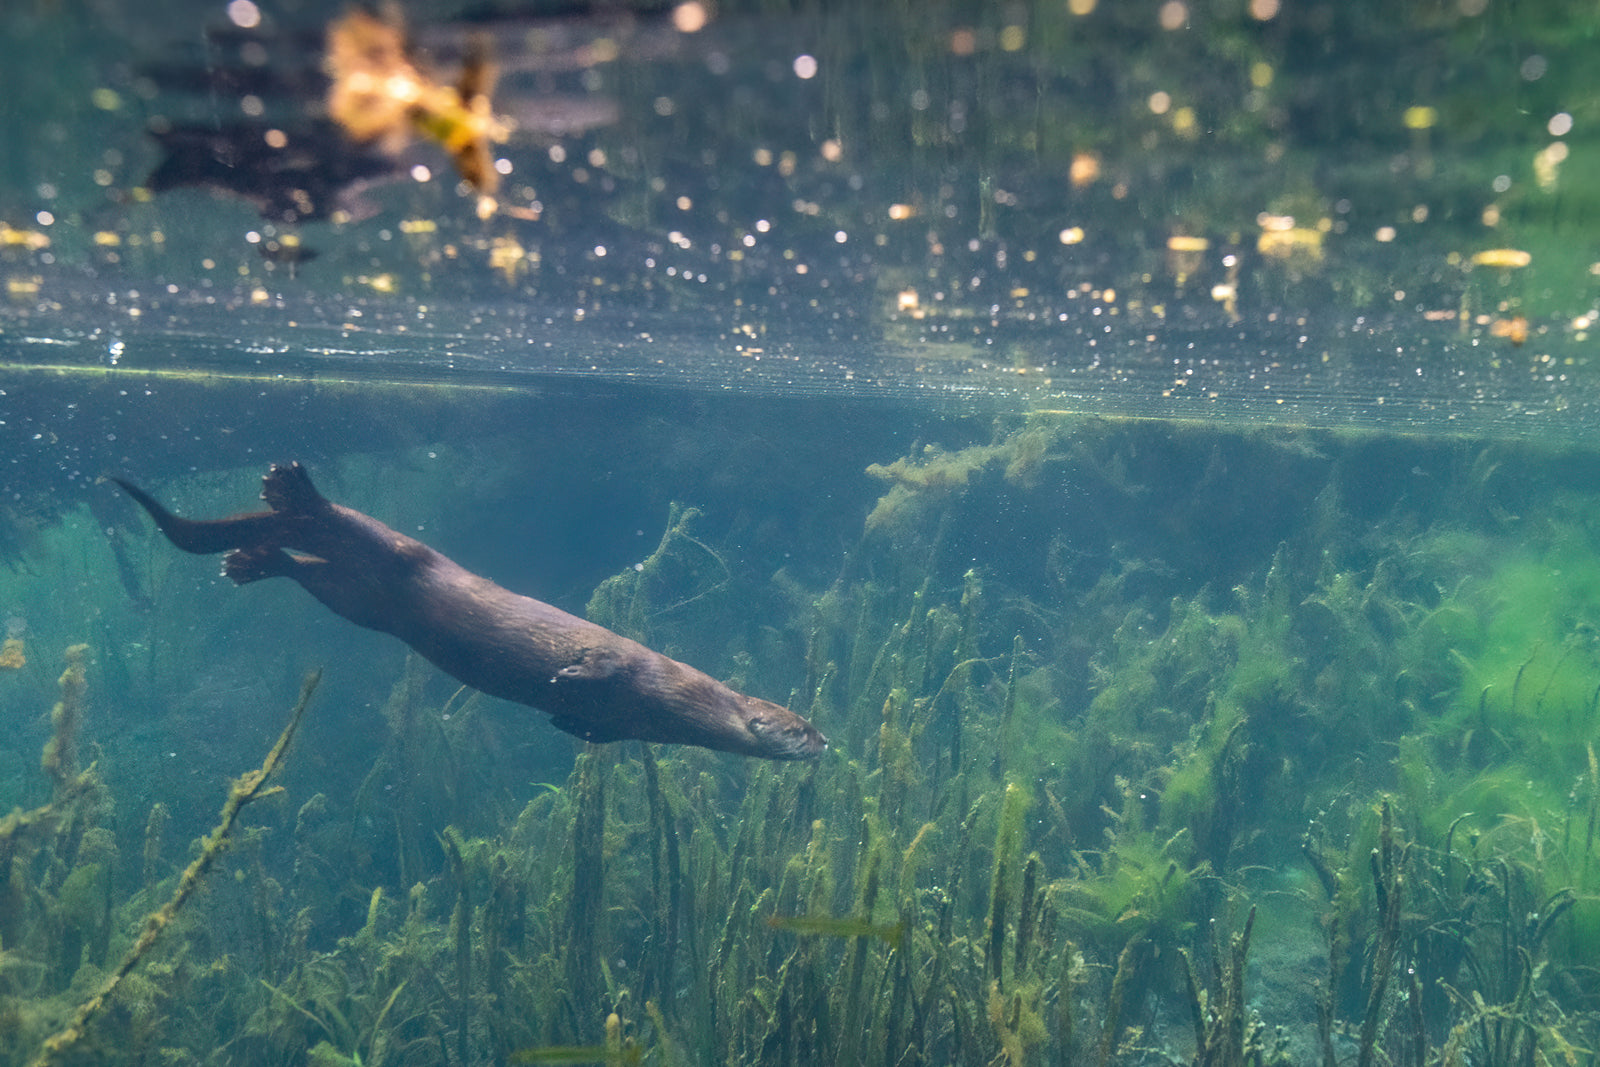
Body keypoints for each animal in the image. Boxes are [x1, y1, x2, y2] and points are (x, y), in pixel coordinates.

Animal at [114, 462, 827, 760]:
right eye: (802, 727)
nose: (829, 745)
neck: (676, 697)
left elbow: (594, 730)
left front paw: (567, 721)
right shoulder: (629, 662)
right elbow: (599, 663)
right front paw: (566, 677)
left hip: (360, 599)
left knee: (308, 568)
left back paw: (250, 562)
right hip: (401, 554)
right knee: (343, 523)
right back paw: (294, 491)